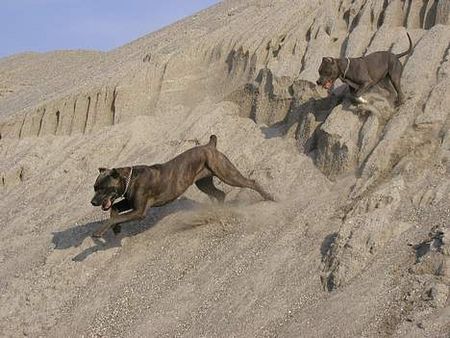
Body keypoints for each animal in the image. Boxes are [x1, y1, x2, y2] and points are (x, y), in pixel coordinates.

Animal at [90, 135, 274, 238]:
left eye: (103, 188)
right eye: (94, 187)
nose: (92, 202)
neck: (130, 179)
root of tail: (209, 145)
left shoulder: (139, 211)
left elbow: (116, 216)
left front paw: (100, 231)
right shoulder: (129, 202)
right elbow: (115, 210)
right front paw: (115, 228)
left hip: (227, 174)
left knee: (250, 182)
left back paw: (269, 197)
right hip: (203, 183)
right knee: (220, 194)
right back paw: (218, 211)